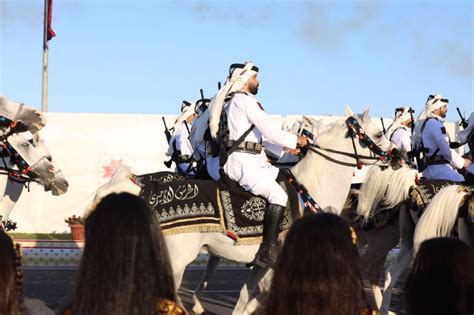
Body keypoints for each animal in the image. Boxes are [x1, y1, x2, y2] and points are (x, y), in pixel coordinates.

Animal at [88, 108, 392, 314]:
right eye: (378, 134)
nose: (397, 156)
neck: (309, 188)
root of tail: (140, 186)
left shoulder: (264, 268)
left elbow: (245, 300)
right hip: (175, 261)